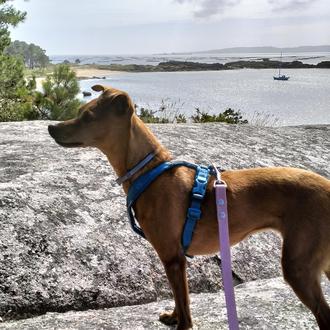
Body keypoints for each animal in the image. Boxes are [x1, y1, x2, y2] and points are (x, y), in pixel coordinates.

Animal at [48, 85, 330, 330]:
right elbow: (178, 297)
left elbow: (183, 302)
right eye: (80, 111)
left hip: (298, 265)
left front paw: (182, 324)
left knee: (324, 314)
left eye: (87, 116)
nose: (51, 127)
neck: (149, 170)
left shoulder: (173, 257)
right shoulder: (175, 259)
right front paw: (173, 316)